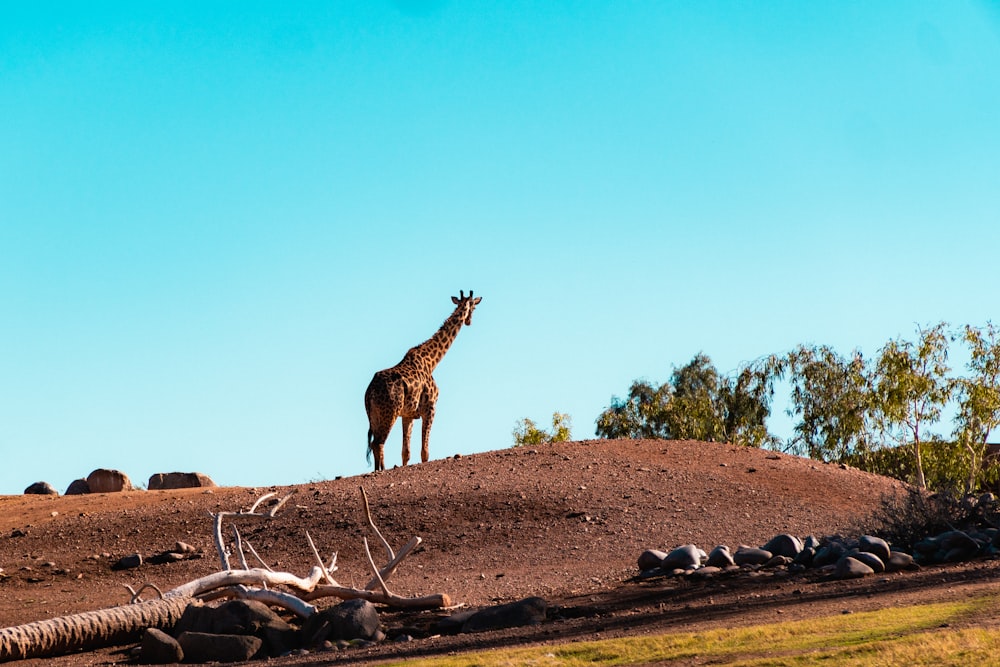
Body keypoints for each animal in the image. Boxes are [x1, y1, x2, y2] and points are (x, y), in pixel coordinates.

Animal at [364, 290, 484, 472]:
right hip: (389, 413)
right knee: (378, 443)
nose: (469, 321)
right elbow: (425, 453)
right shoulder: (430, 408)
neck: (431, 361)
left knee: (374, 444)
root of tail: (369, 392)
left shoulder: (408, 415)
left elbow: (406, 453)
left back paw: (377, 470)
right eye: (474, 307)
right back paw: (381, 471)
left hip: (374, 416)